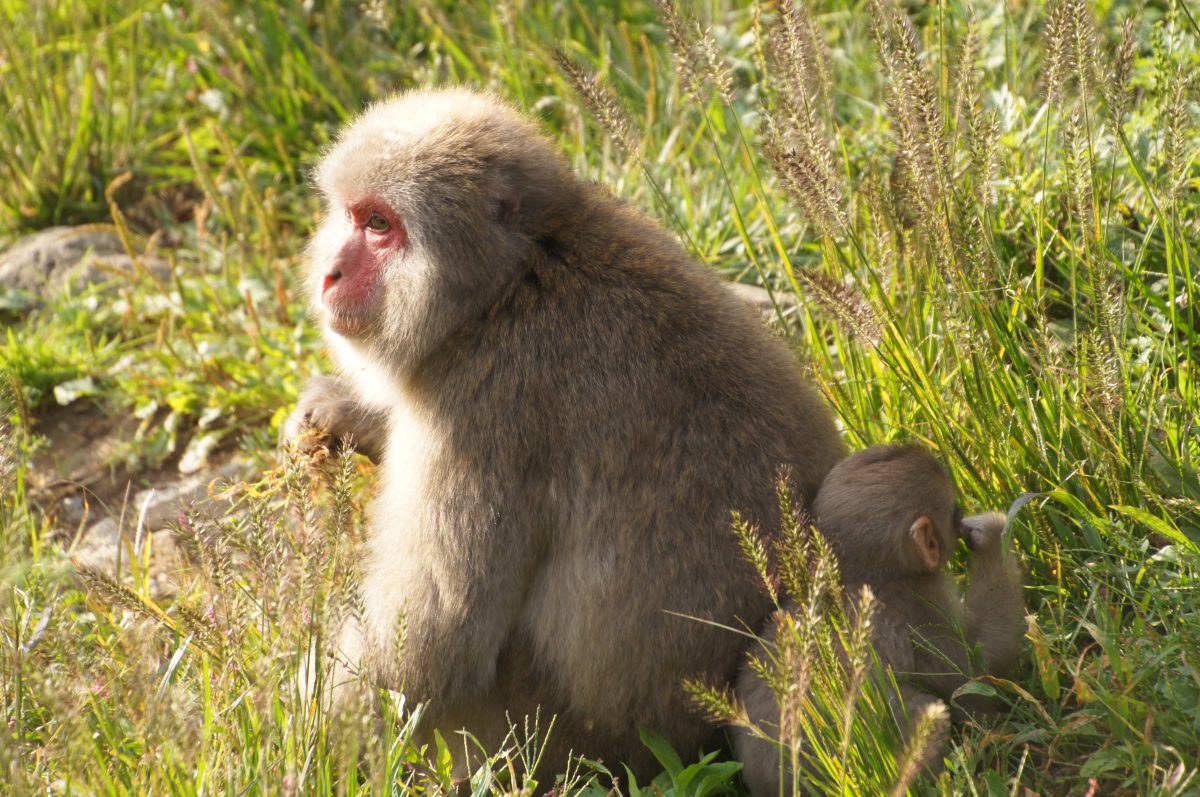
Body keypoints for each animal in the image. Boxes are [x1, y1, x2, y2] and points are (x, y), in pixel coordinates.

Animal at [280, 88, 847, 779]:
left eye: (380, 225)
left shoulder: (485, 403)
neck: (509, 283)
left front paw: (299, 740)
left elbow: (431, 646)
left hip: (539, 737)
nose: (331, 274)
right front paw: (338, 413)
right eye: (351, 215)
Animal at [733, 445, 1025, 796]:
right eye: (953, 513)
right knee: (925, 711)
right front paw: (993, 532)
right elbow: (975, 670)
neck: (854, 575)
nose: (961, 520)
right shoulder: (923, 604)